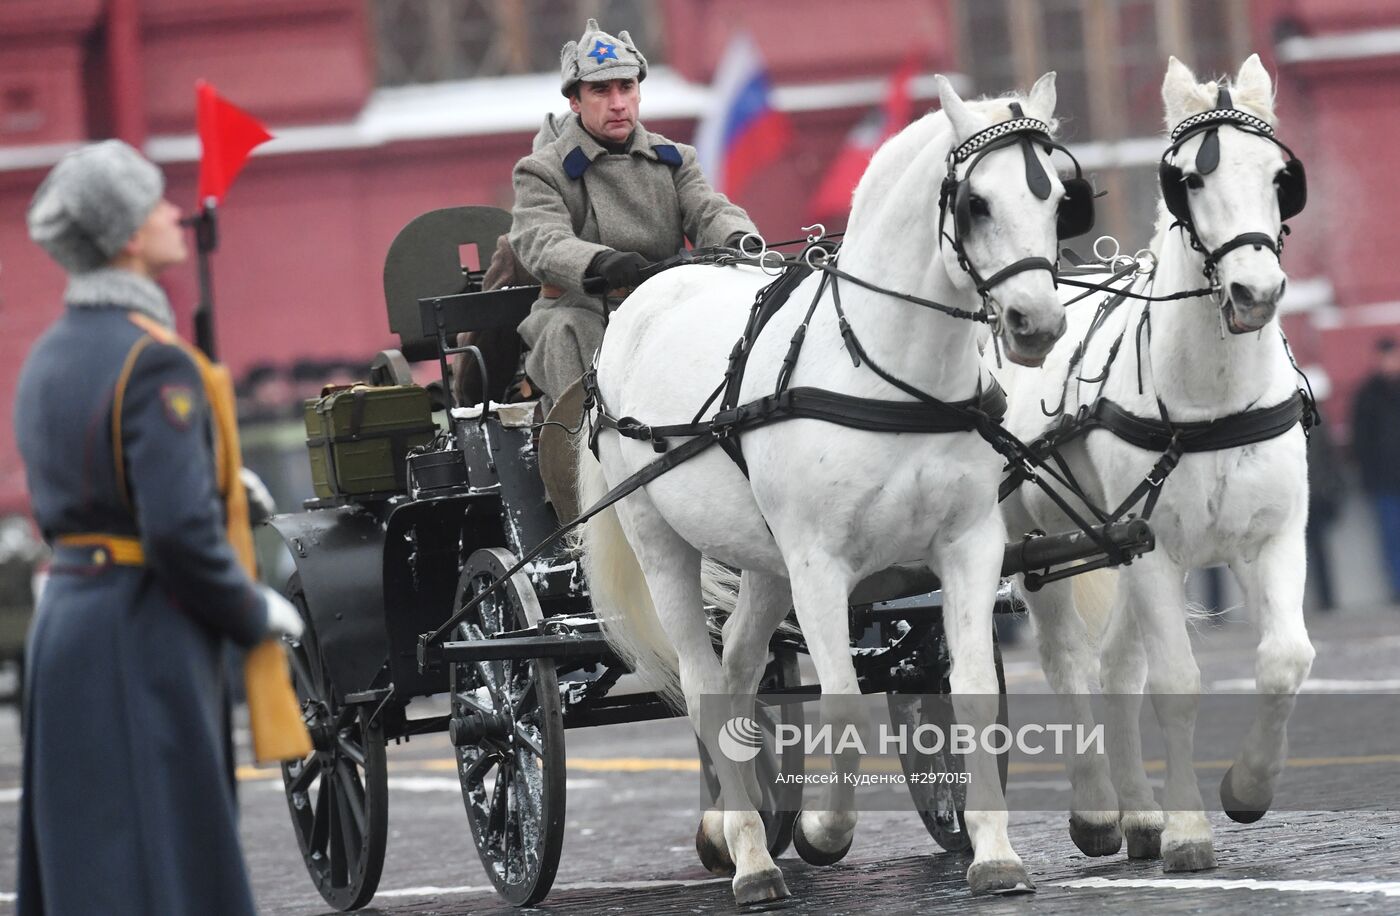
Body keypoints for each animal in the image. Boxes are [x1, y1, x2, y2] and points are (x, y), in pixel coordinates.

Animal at [574, 75, 1075, 907]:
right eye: (976, 203)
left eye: (1060, 196)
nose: (1036, 324)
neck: (890, 376)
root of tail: (648, 290)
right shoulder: (818, 564)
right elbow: (840, 697)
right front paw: (824, 828)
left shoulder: (969, 545)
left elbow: (970, 686)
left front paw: (995, 853)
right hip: (663, 543)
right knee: (703, 681)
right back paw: (752, 858)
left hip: (763, 563)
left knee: (740, 672)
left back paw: (736, 825)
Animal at [996, 55, 1310, 873]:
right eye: (1189, 179)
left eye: (1279, 176)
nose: (1256, 292)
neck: (1212, 399)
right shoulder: (1154, 550)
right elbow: (1176, 681)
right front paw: (1190, 829)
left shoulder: (1271, 538)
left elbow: (1285, 659)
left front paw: (1246, 789)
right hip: (1032, 540)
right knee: (1070, 664)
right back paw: (1098, 810)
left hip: (1110, 542)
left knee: (1114, 667)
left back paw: (1139, 813)